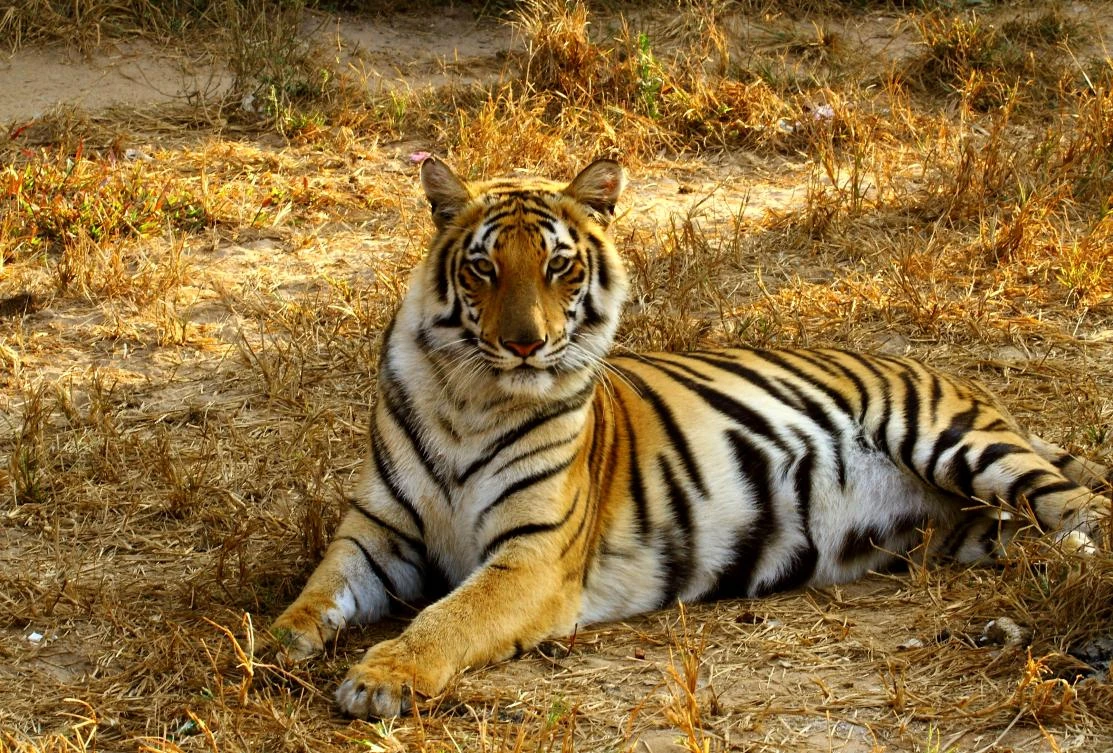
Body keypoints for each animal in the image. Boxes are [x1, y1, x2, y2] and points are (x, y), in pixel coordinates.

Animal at [271, 157, 1111, 720]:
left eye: (558, 266)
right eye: (482, 268)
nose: (524, 344)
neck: (468, 397)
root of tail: (948, 374)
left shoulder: (531, 559)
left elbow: (450, 616)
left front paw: (381, 677)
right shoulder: (374, 535)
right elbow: (314, 593)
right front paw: (272, 645)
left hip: (953, 439)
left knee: (1080, 508)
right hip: (970, 530)